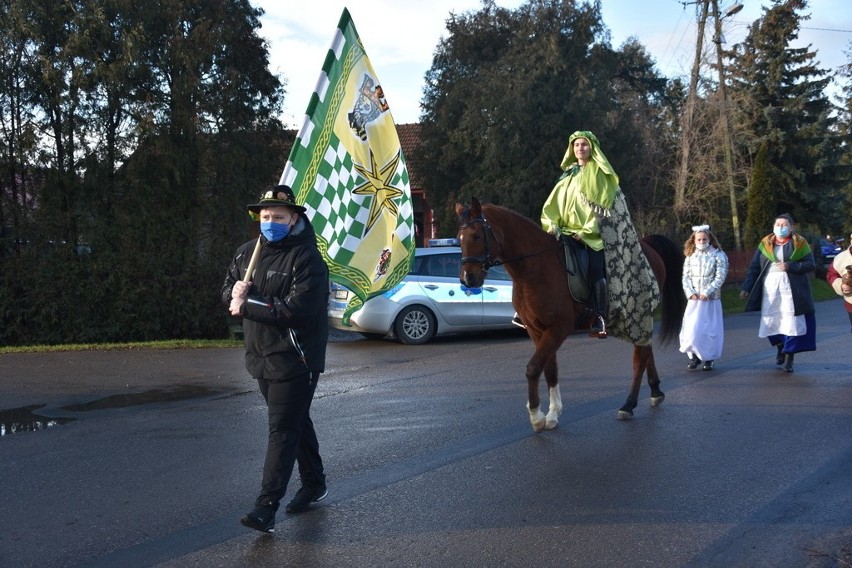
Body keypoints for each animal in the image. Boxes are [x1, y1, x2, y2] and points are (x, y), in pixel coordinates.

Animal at [452, 197, 684, 428]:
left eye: (476, 235)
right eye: (459, 239)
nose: (467, 278)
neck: (535, 269)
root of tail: (647, 246)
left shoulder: (558, 329)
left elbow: (533, 368)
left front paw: (536, 416)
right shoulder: (536, 330)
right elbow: (549, 369)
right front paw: (553, 414)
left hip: (639, 312)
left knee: (639, 358)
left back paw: (629, 405)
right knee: (646, 350)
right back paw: (655, 391)